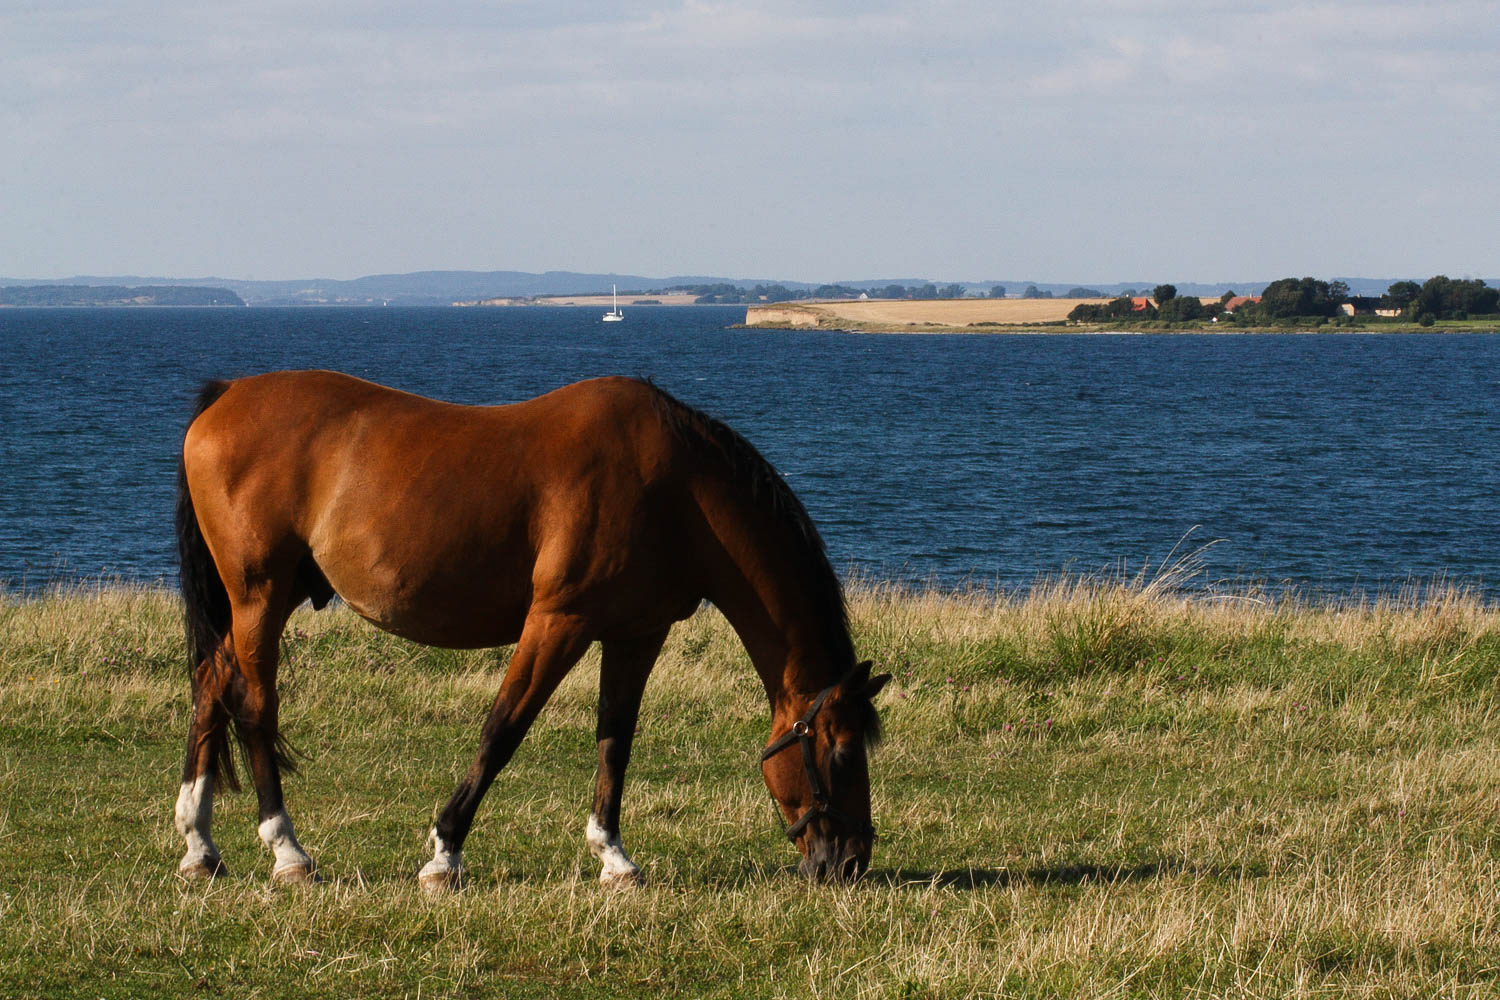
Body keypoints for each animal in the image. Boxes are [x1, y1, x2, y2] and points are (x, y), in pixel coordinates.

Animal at [172, 371, 888, 887]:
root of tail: (227, 395)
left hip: (271, 597)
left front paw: (614, 858)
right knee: (253, 704)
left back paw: (200, 845)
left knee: (211, 684)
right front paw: (444, 855)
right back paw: (287, 851)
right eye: (842, 752)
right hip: (259, 597)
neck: (676, 491)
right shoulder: (557, 622)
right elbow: (502, 732)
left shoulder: (635, 634)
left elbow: (615, 741)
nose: (852, 861)